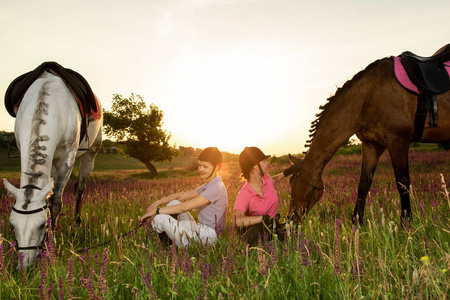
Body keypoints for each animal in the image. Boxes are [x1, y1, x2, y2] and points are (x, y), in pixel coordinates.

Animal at [2, 71, 101, 268]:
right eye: (12, 225)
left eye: (42, 225)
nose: (24, 267)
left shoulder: (67, 159)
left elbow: (55, 201)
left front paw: (52, 245)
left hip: (91, 153)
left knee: (79, 188)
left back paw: (77, 224)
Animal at [286, 47, 450, 225]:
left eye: (293, 184)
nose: (290, 220)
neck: (370, 96)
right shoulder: (371, 146)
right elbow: (364, 184)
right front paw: (356, 222)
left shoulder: (398, 142)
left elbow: (403, 183)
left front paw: (406, 222)